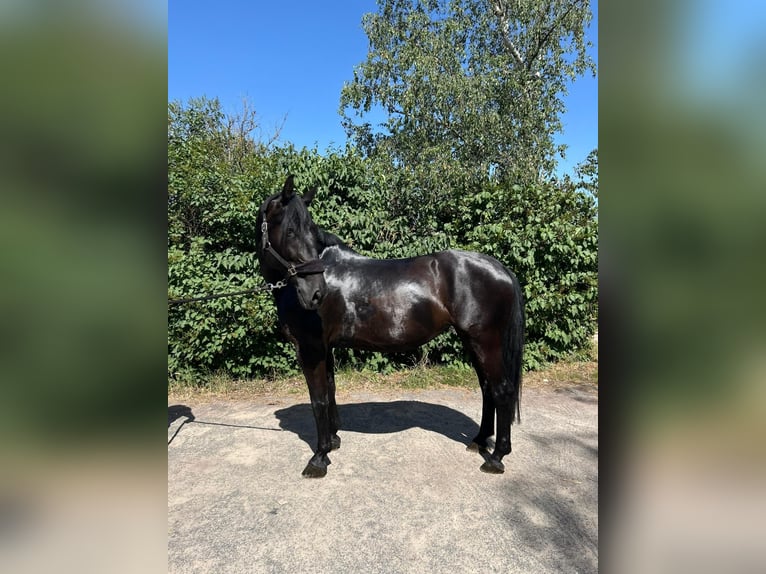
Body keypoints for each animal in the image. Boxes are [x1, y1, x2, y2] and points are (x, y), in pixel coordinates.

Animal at [256, 175, 525, 478]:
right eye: (291, 231)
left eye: (310, 232)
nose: (316, 293)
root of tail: (500, 269)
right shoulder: (326, 348)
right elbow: (331, 391)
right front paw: (334, 440)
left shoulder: (310, 349)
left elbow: (319, 399)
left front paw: (319, 458)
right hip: (472, 342)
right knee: (487, 389)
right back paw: (479, 441)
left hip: (486, 342)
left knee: (502, 390)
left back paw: (496, 457)